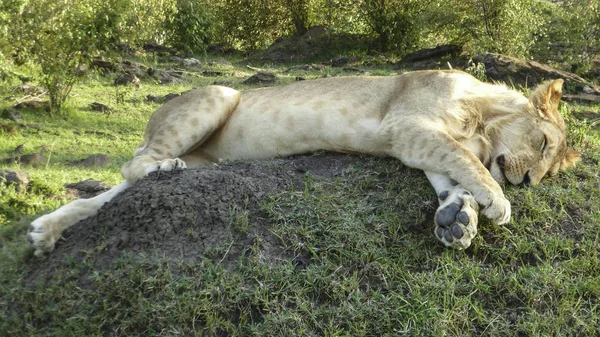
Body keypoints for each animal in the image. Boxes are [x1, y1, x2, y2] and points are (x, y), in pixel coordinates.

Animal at [28, 70, 580, 255]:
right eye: (544, 144)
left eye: (550, 169)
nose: (530, 182)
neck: (483, 118)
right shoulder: (408, 126)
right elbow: (466, 160)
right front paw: (498, 201)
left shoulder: (416, 143)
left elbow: (450, 176)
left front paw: (458, 219)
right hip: (219, 95)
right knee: (134, 163)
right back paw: (161, 171)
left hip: (200, 158)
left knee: (110, 194)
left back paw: (43, 232)